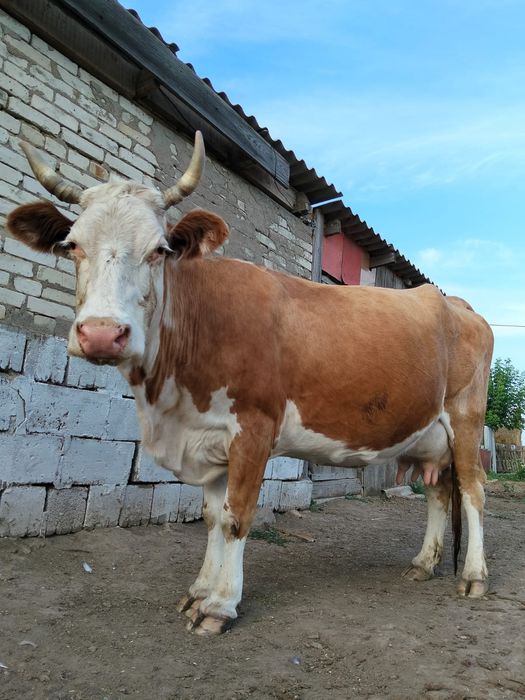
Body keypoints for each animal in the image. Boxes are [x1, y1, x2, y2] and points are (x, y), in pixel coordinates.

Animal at [7, 133, 494, 635]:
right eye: (71, 245)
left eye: (159, 250)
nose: (102, 333)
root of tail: (453, 302)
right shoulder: (209, 436)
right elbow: (209, 518)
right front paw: (199, 591)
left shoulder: (254, 429)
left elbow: (236, 518)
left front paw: (220, 605)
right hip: (428, 432)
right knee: (439, 492)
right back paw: (423, 563)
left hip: (465, 418)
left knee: (474, 490)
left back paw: (474, 576)